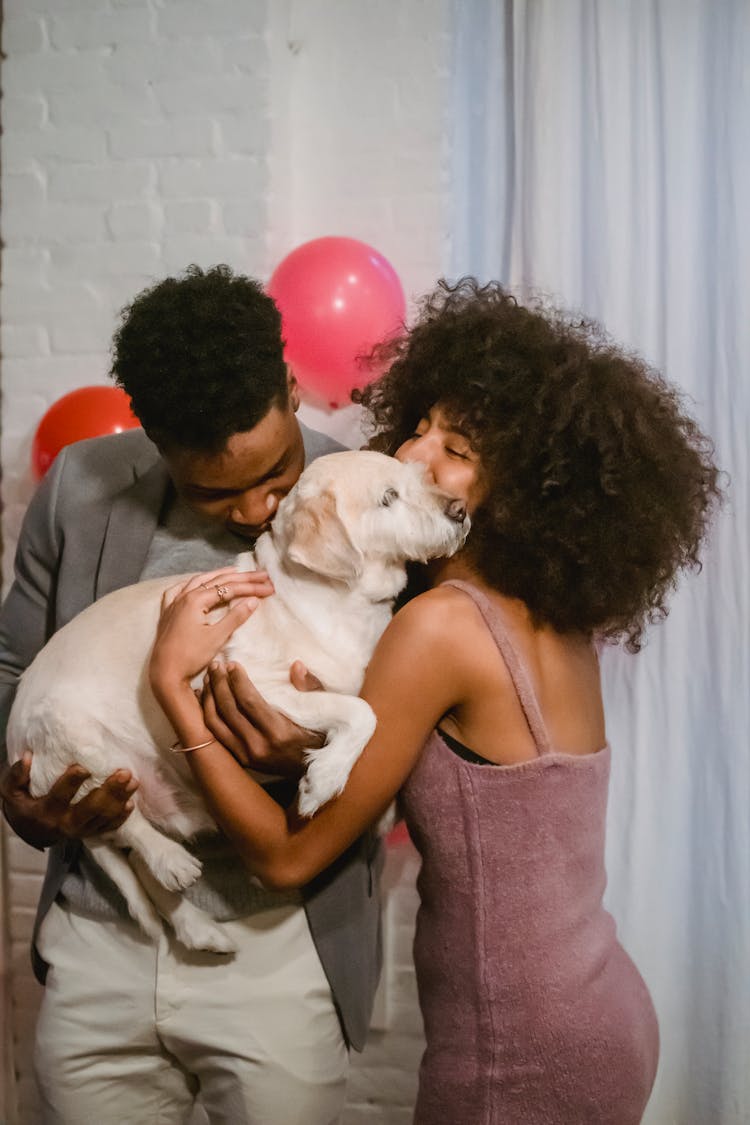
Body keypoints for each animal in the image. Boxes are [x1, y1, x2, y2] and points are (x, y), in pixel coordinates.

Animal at [8, 447, 470, 949]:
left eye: (418, 477)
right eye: (388, 497)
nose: (460, 510)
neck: (338, 603)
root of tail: (12, 738)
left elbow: (369, 718)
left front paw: (378, 809)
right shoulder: (259, 684)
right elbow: (362, 713)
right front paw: (324, 780)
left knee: (125, 849)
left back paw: (196, 926)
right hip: (73, 739)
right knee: (124, 825)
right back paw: (170, 859)